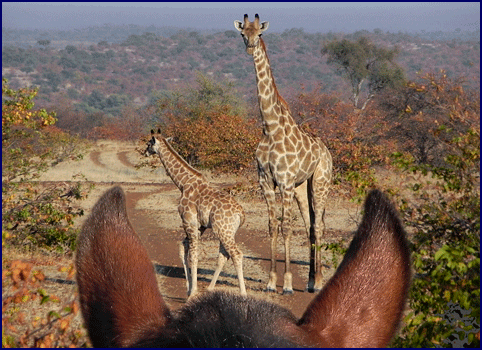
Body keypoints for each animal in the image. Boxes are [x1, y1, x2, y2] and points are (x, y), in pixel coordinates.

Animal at [145, 130, 247, 296]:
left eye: (149, 143)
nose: (145, 152)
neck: (182, 183)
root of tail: (241, 214)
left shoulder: (189, 221)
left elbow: (193, 256)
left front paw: (192, 292)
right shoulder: (200, 226)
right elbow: (183, 248)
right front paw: (188, 289)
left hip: (223, 230)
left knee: (236, 254)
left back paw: (243, 294)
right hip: (227, 231)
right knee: (223, 256)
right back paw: (210, 288)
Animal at [233, 13, 332, 294]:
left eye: (260, 34)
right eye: (243, 33)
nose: (250, 47)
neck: (270, 127)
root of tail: (327, 151)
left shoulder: (285, 182)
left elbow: (286, 227)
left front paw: (286, 283)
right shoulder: (266, 181)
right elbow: (272, 226)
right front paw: (270, 281)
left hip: (320, 183)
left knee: (319, 225)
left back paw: (318, 282)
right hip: (301, 187)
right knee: (310, 225)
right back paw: (310, 280)